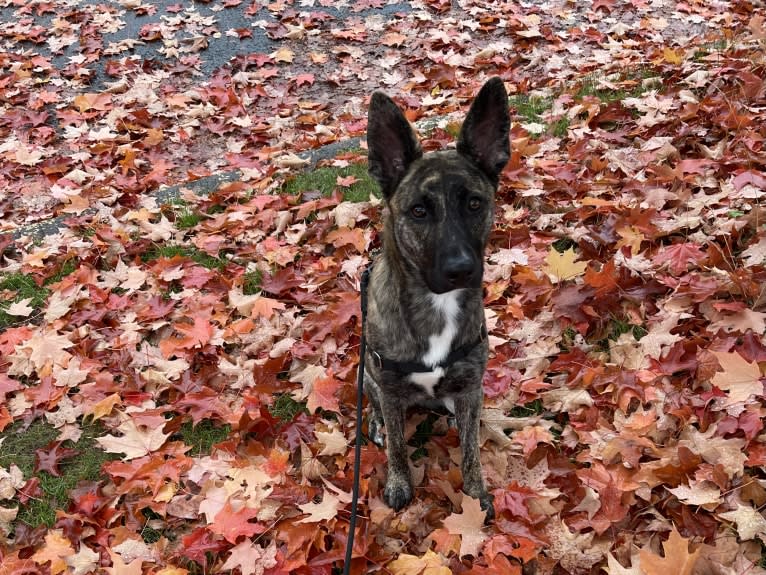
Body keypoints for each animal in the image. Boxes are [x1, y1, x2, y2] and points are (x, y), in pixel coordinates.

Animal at [364, 77, 510, 520]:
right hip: (367, 377)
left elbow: (471, 452)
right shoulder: (388, 386)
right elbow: (398, 447)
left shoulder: (470, 389)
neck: (436, 306)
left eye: (475, 203)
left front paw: (476, 495)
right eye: (418, 211)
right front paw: (398, 483)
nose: (461, 269)